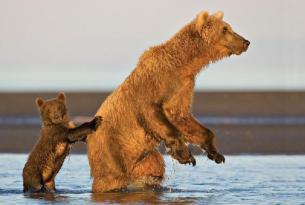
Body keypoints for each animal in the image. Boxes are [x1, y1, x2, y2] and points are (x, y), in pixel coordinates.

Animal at [86, 10, 248, 191]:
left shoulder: (183, 87)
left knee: (154, 168)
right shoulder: (155, 82)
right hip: (111, 148)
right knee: (112, 178)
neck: (182, 64)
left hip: (146, 157)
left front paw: (216, 153)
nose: (246, 42)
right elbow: (152, 112)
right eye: (225, 29)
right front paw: (185, 155)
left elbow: (182, 117)